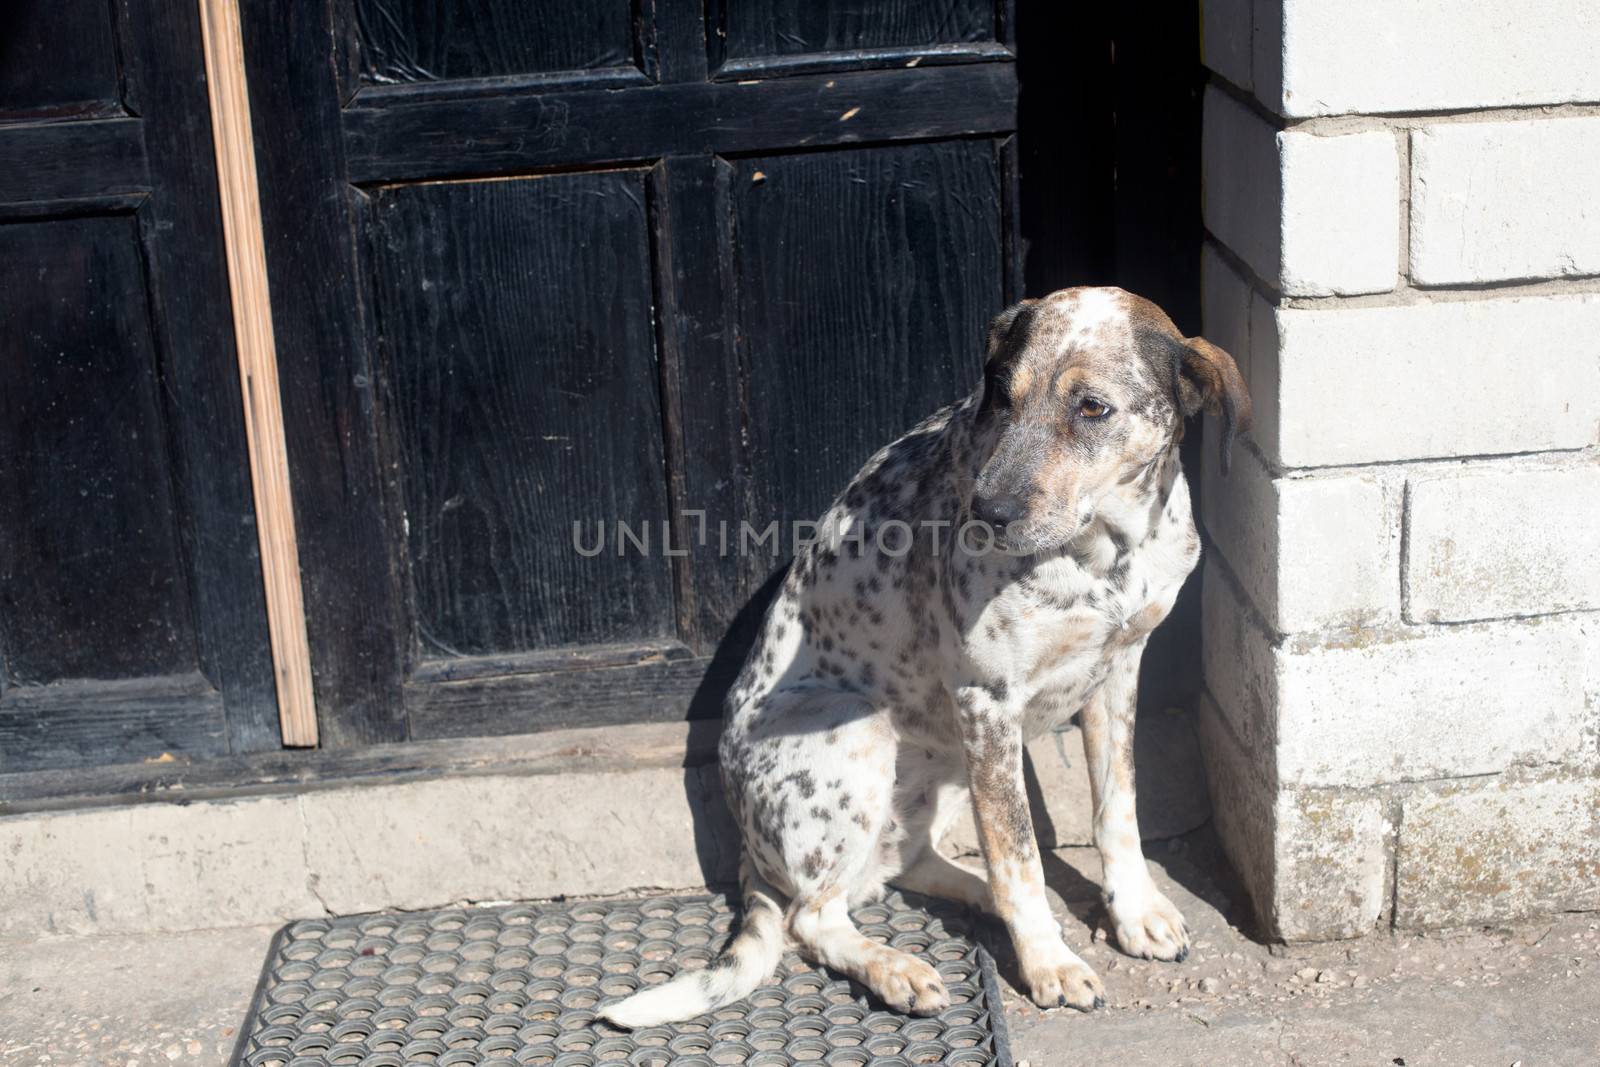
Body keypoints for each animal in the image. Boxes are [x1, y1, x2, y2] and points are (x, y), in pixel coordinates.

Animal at [601, 287, 1248, 1030]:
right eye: (1002, 395)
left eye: (1093, 407)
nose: (987, 511)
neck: (1109, 548)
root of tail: (746, 844)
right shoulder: (989, 701)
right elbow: (1019, 853)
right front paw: (1049, 964)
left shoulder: (1118, 671)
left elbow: (1117, 809)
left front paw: (1134, 912)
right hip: (860, 731)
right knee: (813, 917)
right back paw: (899, 968)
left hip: (946, 763)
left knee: (901, 863)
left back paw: (976, 906)